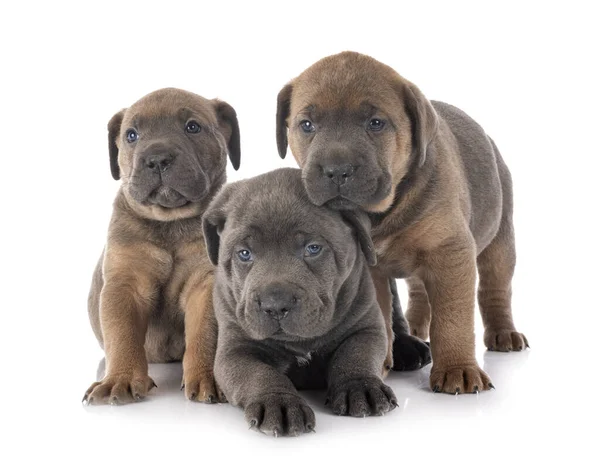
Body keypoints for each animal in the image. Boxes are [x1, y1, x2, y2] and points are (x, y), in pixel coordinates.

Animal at [84, 89, 239, 404]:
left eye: (192, 127)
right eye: (131, 135)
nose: (157, 159)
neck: (170, 224)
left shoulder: (205, 285)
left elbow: (206, 333)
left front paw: (207, 377)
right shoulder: (124, 284)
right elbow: (122, 334)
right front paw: (120, 379)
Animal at [204, 168, 396, 436]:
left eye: (313, 248)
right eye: (244, 253)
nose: (275, 305)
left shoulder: (365, 327)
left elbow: (356, 355)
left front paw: (360, 386)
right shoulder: (236, 350)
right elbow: (260, 374)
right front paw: (280, 403)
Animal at [274, 52, 528, 394]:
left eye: (376, 123)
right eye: (307, 125)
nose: (337, 170)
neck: (378, 215)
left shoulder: (450, 250)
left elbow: (453, 317)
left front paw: (458, 368)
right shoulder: (369, 270)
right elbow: (380, 315)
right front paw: (377, 363)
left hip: (500, 240)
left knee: (496, 289)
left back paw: (503, 333)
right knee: (420, 292)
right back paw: (417, 327)